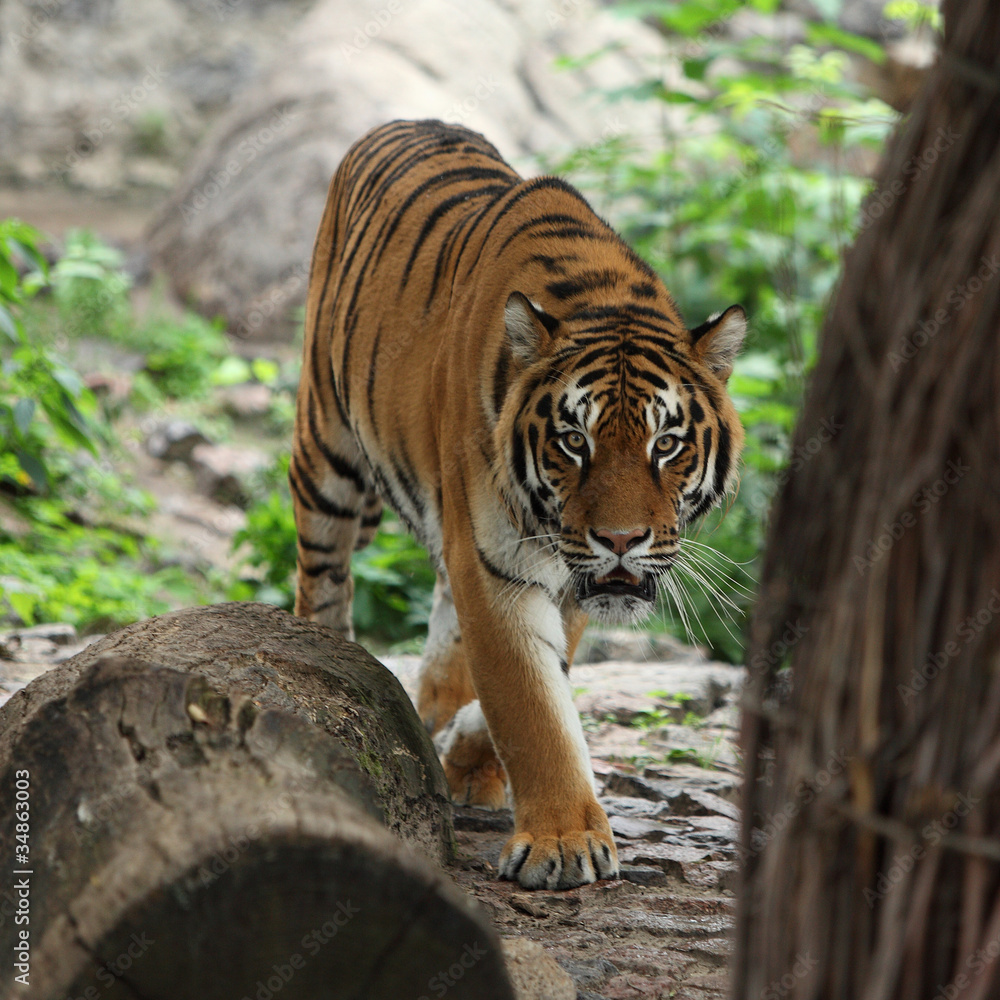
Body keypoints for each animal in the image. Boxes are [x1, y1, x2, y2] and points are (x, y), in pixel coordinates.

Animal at [291, 119, 746, 890]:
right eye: (573, 441)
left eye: (666, 444)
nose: (620, 539)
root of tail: (407, 121)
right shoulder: (496, 563)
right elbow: (530, 703)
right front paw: (563, 841)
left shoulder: (570, 574)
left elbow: (531, 677)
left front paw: (474, 756)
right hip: (325, 446)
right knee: (323, 577)